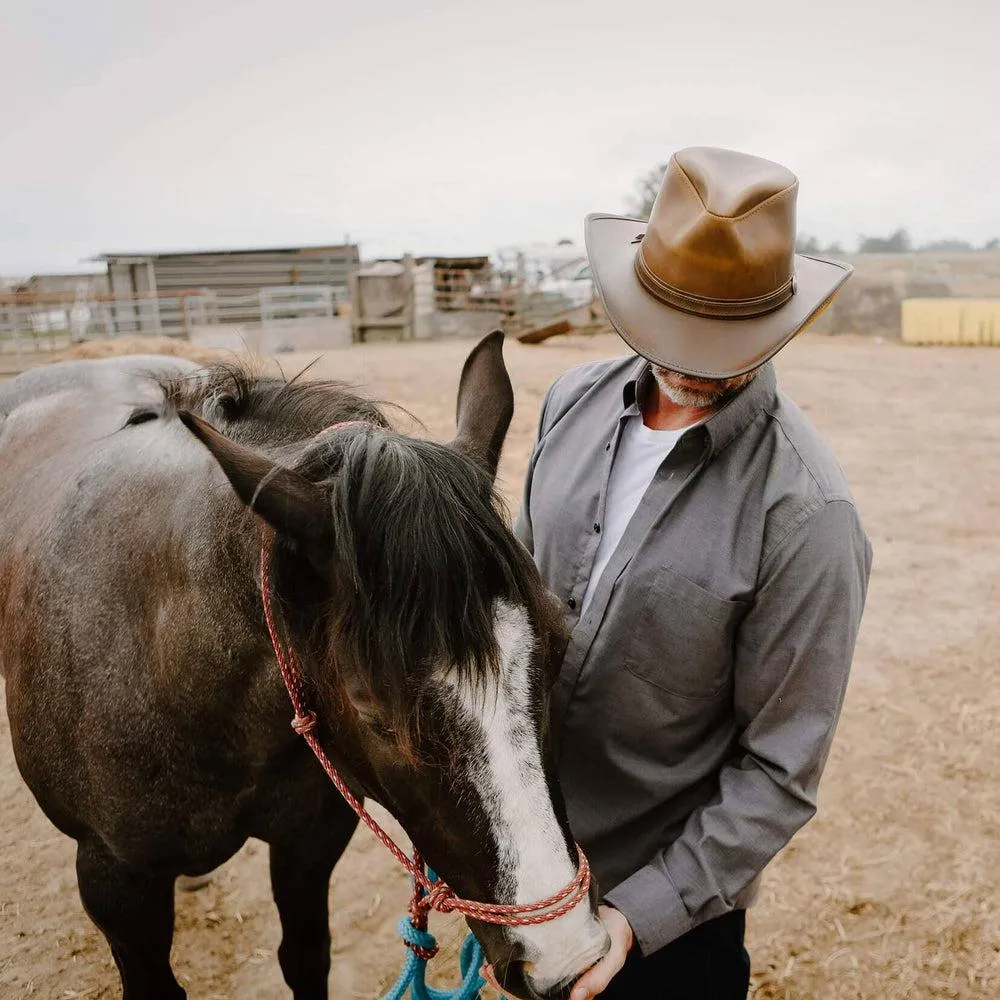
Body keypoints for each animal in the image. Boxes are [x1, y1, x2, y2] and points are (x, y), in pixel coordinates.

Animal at [0, 336, 608, 1000]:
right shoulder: (115, 887)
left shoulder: (308, 841)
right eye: (370, 706)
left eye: (558, 642)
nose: (567, 956)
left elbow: (305, 956)